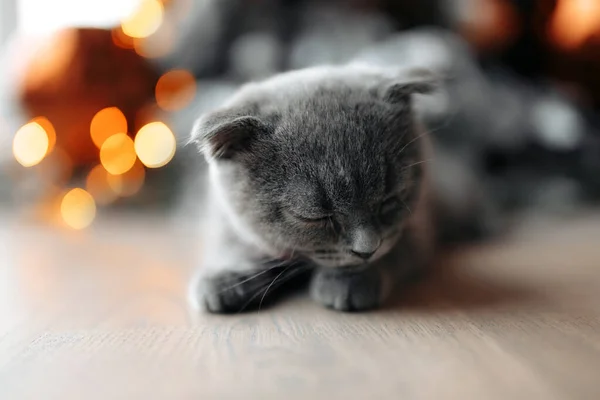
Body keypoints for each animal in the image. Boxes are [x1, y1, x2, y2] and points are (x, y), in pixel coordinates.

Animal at [190, 64, 438, 312]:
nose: (367, 250)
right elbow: (231, 241)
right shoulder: (221, 213)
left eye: (390, 200)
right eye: (314, 217)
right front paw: (225, 277)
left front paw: (350, 280)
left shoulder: (421, 223)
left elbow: (400, 248)